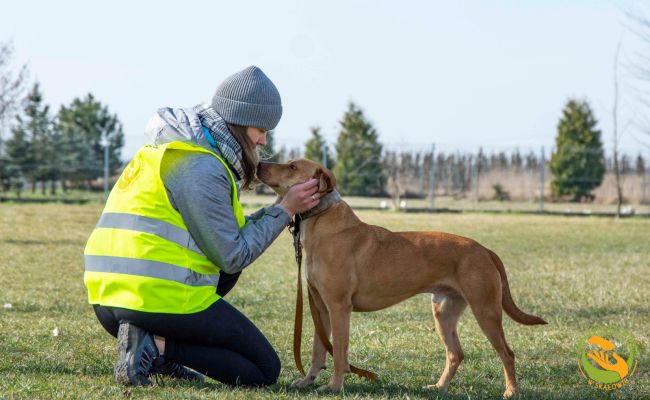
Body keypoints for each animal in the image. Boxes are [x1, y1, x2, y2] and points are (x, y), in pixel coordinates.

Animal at [257, 159, 547, 398]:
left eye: (292, 166)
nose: (259, 163)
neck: (321, 222)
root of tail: (485, 249)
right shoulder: (321, 307)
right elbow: (318, 350)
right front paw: (308, 381)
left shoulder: (339, 307)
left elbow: (339, 352)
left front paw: (335, 386)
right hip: (444, 312)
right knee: (455, 354)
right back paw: (439, 387)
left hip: (486, 310)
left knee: (506, 353)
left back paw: (511, 391)